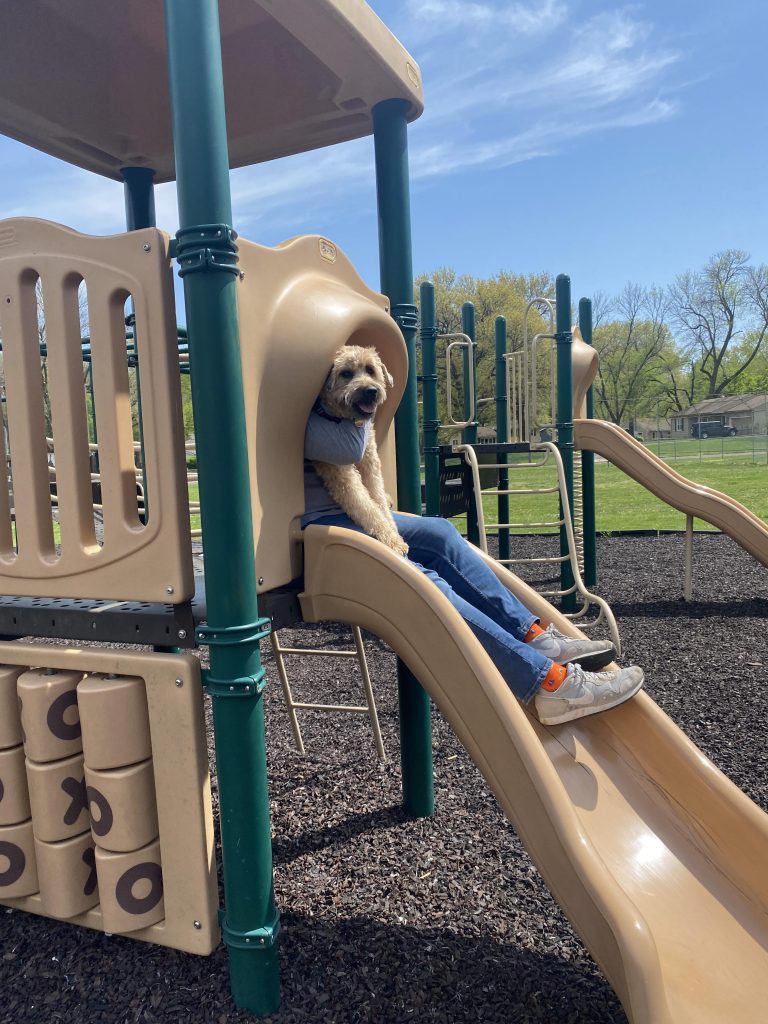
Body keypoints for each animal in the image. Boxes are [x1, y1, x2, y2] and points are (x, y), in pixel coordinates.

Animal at [311, 345, 409, 556]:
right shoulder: (341, 474)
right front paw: (392, 541)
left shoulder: (369, 461)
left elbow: (378, 498)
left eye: (370, 370)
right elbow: (366, 507)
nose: (371, 391)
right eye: (346, 373)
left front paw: (393, 531)